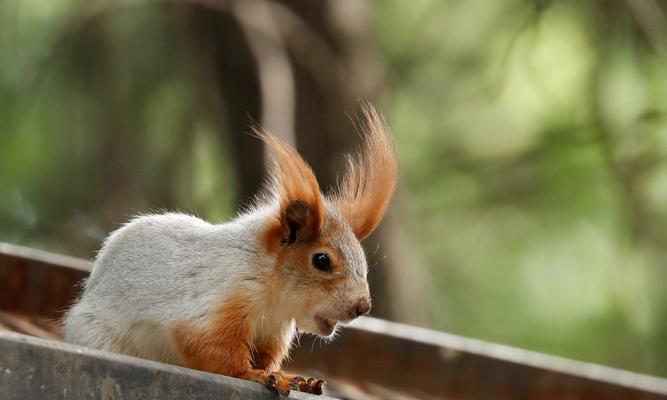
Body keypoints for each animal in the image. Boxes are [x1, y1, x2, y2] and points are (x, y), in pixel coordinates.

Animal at [62, 104, 396, 396]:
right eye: (322, 260)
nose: (362, 307)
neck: (274, 294)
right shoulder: (216, 305)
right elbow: (217, 353)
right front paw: (257, 375)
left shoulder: (273, 332)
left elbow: (265, 355)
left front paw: (294, 378)